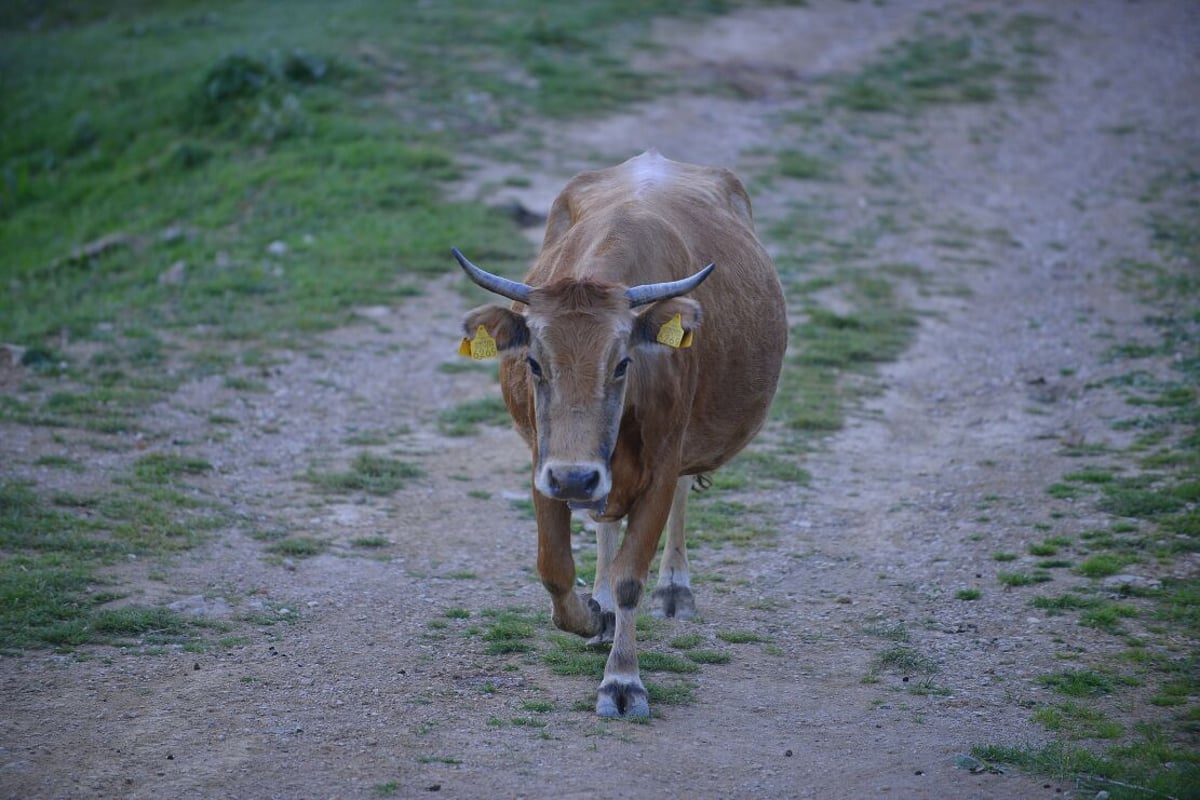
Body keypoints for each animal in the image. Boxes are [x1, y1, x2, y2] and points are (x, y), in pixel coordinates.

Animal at [451, 149, 787, 719]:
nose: (576, 478)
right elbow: (556, 569)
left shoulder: (661, 462)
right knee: (604, 520)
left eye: (622, 363)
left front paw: (623, 680)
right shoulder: (546, 463)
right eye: (534, 363)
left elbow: (633, 574)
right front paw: (592, 614)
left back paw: (674, 590)